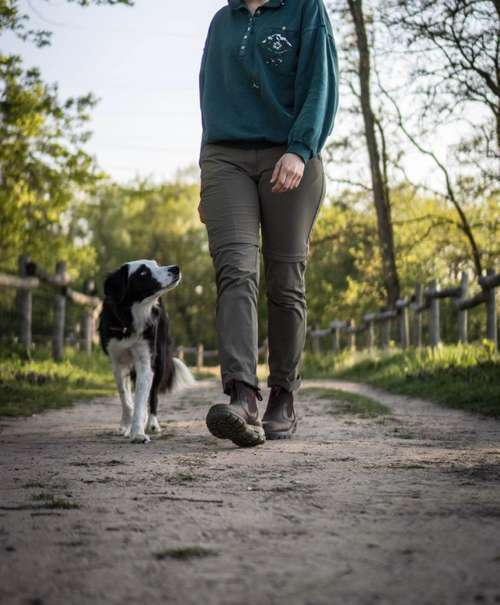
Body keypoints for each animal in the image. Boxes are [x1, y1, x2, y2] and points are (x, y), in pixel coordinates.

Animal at [97, 258, 193, 442]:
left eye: (156, 265)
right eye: (143, 273)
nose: (175, 268)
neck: (131, 317)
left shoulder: (146, 360)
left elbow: (141, 400)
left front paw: (138, 432)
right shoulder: (117, 362)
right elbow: (125, 398)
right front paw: (127, 425)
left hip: (160, 360)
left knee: (153, 395)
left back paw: (152, 424)